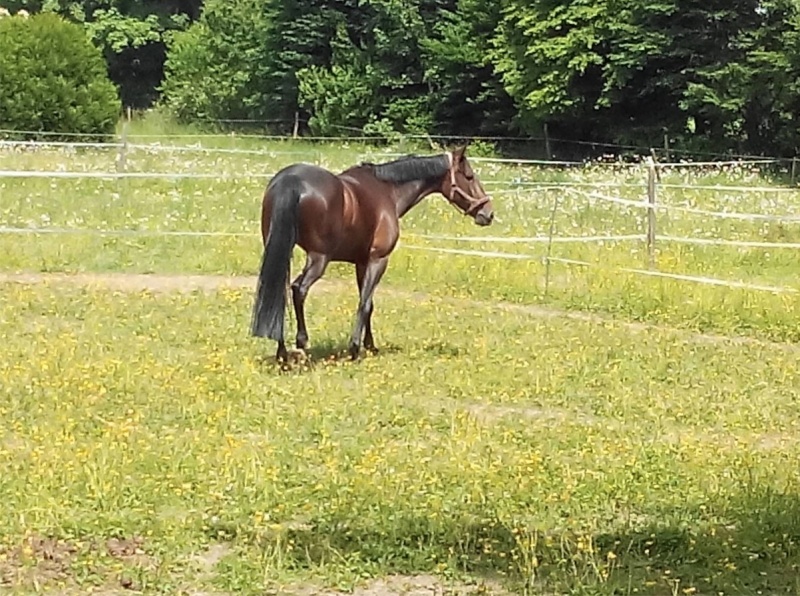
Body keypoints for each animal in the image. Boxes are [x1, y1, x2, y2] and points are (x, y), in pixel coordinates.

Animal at [250, 143, 494, 364]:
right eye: (469, 176)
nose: (488, 213)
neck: (388, 191)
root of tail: (290, 181)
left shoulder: (361, 262)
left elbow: (368, 302)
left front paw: (370, 345)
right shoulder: (378, 260)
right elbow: (365, 303)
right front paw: (355, 348)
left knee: (279, 291)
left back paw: (282, 352)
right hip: (319, 258)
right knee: (298, 290)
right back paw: (301, 344)